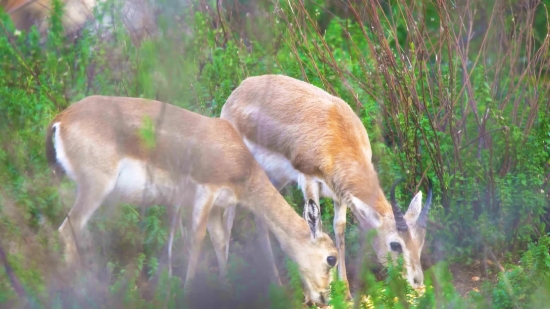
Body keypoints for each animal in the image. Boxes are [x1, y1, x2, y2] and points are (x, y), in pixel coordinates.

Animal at [46, 94, 340, 304]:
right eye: (331, 258)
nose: (325, 298)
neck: (239, 161)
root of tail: (61, 119)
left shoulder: (216, 208)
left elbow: (220, 242)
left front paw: (225, 287)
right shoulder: (204, 194)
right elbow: (196, 242)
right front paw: (187, 292)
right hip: (96, 188)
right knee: (66, 231)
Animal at [221, 73, 436, 298]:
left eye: (420, 241)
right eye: (395, 244)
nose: (417, 281)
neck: (337, 137)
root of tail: (239, 90)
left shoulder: (340, 195)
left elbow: (338, 230)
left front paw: (346, 293)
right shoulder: (308, 180)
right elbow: (313, 227)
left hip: (274, 179)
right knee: (225, 222)